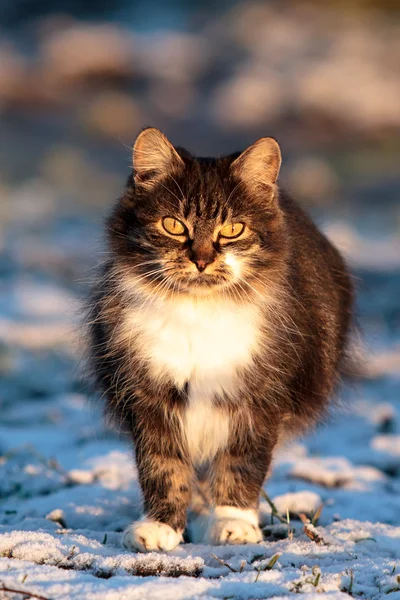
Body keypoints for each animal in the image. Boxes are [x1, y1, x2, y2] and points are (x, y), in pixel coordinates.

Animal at [84, 126, 354, 552]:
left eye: (232, 230)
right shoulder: (149, 396)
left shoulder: (260, 398)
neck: (199, 314)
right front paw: (160, 526)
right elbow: (163, 468)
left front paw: (233, 523)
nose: (202, 259)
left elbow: (242, 465)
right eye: (174, 225)